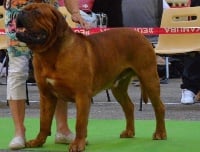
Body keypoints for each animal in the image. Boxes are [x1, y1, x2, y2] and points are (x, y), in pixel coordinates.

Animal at [15, 2, 166, 152]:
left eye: (37, 12)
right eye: (24, 9)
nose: (20, 12)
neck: (49, 54)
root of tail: (141, 35)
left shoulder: (82, 95)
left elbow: (80, 123)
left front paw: (78, 144)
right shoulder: (46, 95)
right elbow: (44, 121)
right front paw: (38, 141)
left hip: (149, 78)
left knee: (159, 107)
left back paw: (160, 133)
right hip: (118, 87)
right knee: (129, 106)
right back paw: (129, 132)